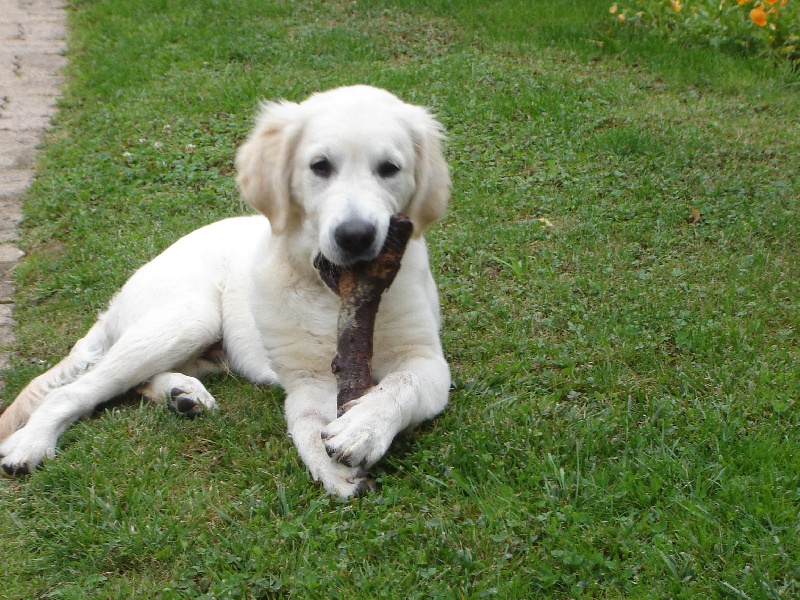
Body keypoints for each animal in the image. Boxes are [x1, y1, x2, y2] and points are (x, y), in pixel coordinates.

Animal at [0, 84, 450, 496]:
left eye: (389, 168)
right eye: (320, 166)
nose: (355, 236)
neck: (331, 295)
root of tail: (115, 303)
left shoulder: (427, 360)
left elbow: (401, 385)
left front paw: (363, 426)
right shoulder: (307, 377)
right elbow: (308, 421)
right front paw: (332, 462)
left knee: (128, 381)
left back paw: (179, 393)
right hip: (190, 318)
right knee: (76, 390)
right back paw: (31, 443)